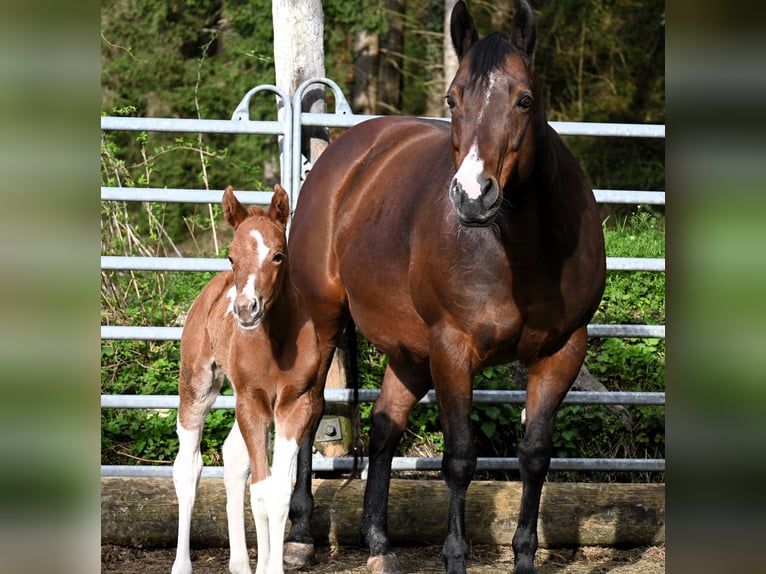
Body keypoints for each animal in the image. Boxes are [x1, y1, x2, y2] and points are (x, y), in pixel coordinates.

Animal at [172, 186, 320, 574]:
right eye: (231, 257)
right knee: (188, 468)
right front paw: (268, 565)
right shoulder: (252, 404)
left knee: (234, 458)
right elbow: (262, 491)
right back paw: (182, 565)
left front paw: (271, 566)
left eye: (278, 256)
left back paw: (239, 563)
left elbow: (277, 492)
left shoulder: (293, 405)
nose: (245, 310)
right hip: (197, 386)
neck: (276, 343)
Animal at [284, 1, 608, 574]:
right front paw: (455, 557)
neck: (522, 250)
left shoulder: (562, 351)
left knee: (385, 424)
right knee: (313, 406)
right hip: (323, 318)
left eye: (524, 99)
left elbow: (534, 456)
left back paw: (379, 545)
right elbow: (458, 459)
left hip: (410, 349)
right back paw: (300, 534)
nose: (473, 196)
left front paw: (524, 558)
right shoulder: (454, 349)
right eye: (452, 99)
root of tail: (346, 155)